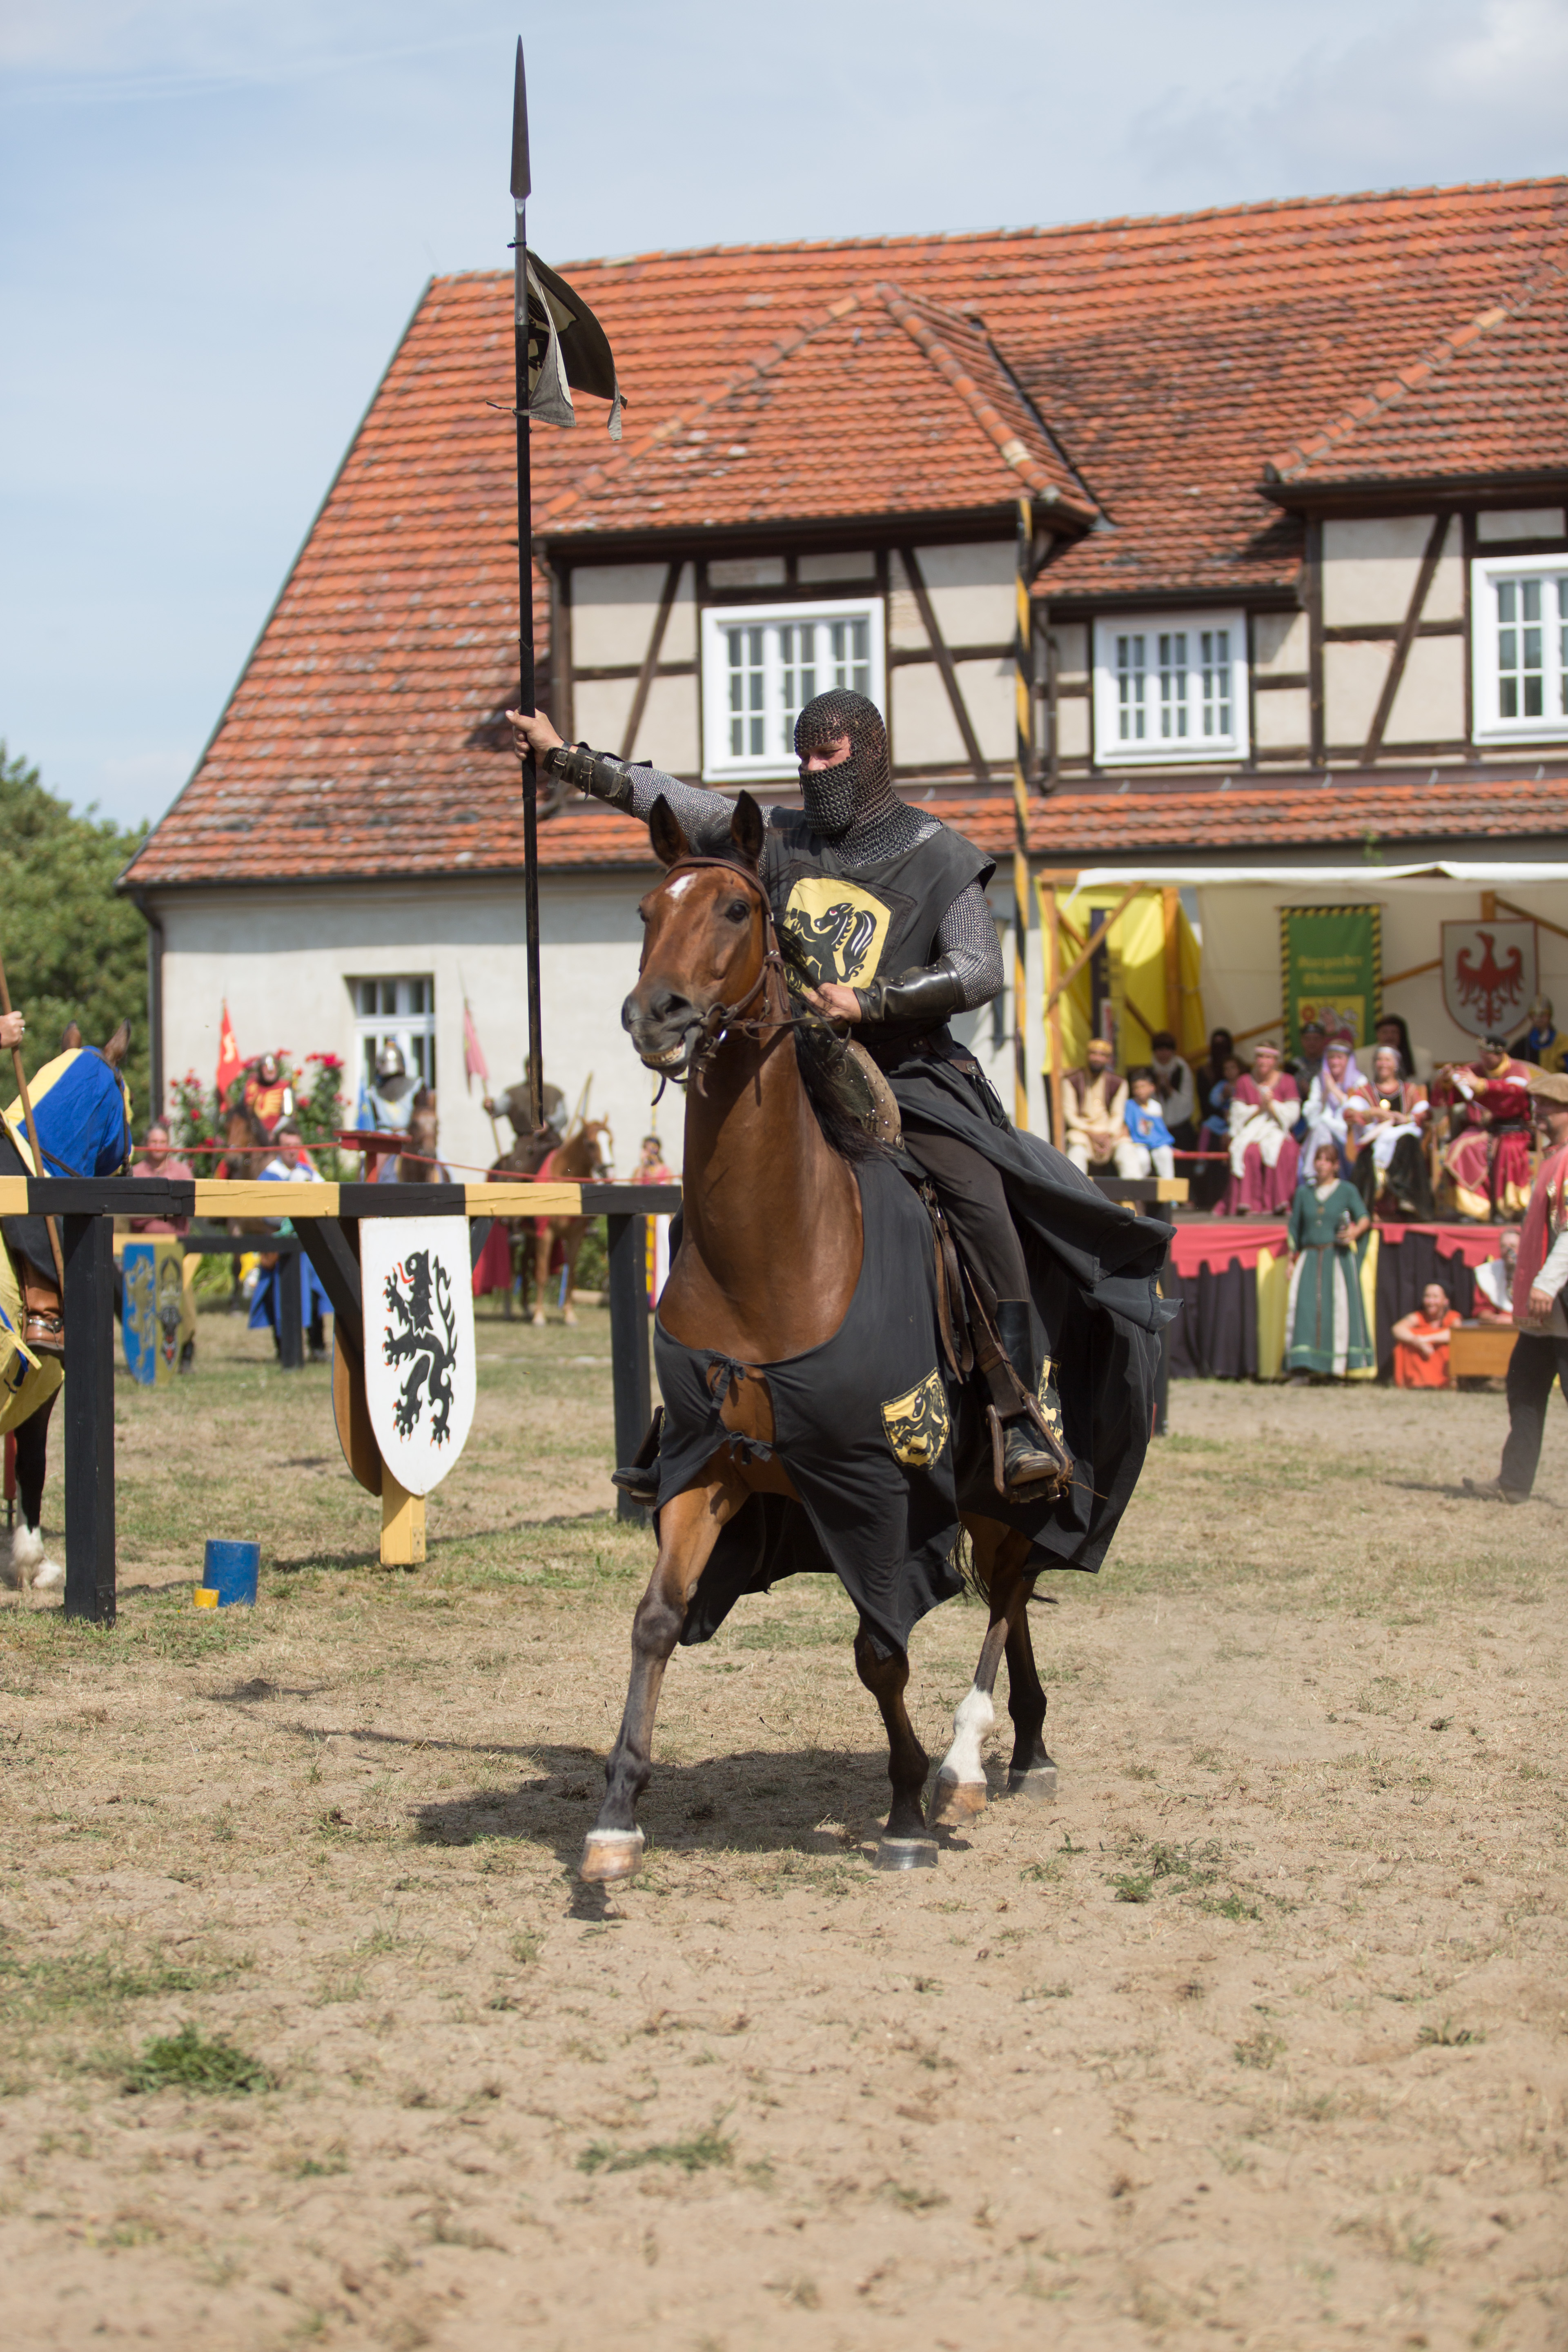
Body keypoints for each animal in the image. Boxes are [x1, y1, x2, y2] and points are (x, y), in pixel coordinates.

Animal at [580, 795, 1055, 1884]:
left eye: (733, 909)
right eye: (644, 910)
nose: (656, 1015)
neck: (778, 1249)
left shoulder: (877, 1485)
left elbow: (881, 1647)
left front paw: (905, 1810)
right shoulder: (708, 1464)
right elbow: (656, 1620)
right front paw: (617, 1814)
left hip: (1000, 1476)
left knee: (1010, 1585)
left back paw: (976, 1755)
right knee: (1010, 1595)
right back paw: (1013, 1749)